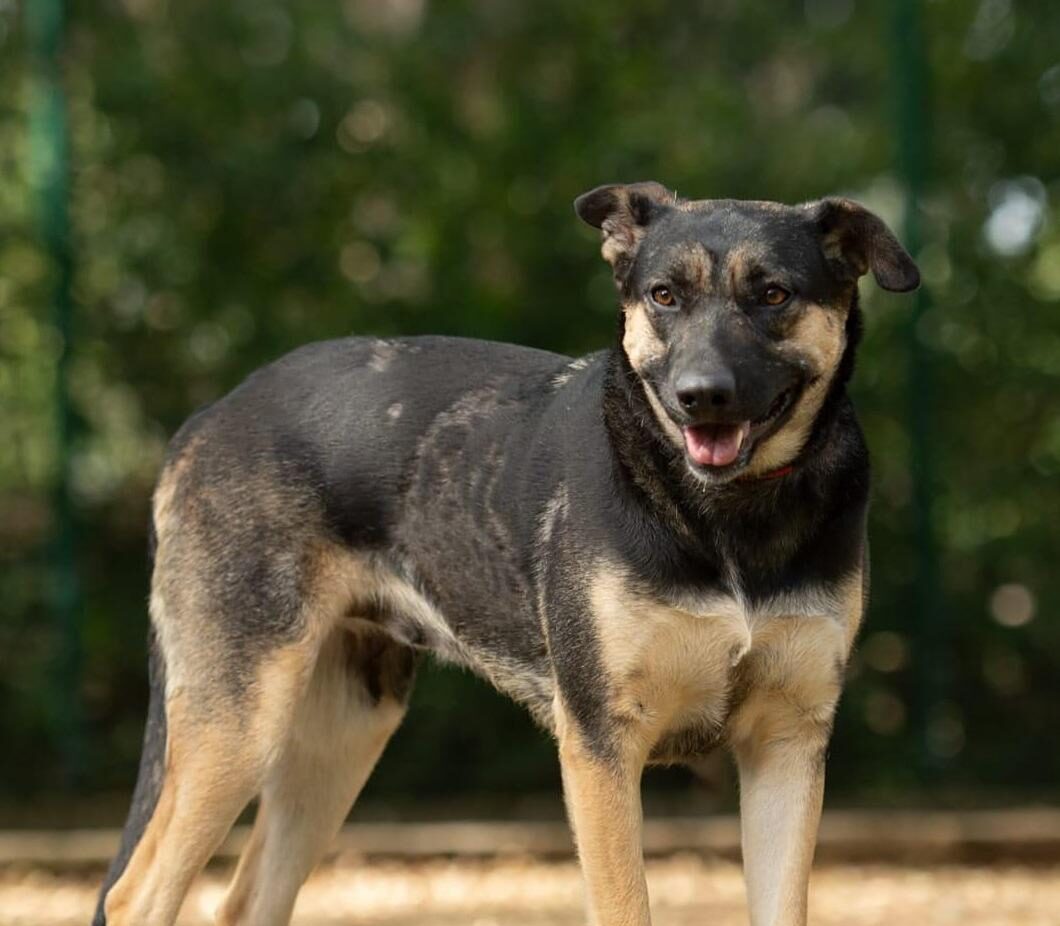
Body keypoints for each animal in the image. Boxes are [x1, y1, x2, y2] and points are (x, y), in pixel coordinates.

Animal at [95, 182, 915, 923]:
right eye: (664, 296)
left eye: (773, 294)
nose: (700, 395)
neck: (728, 516)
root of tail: (206, 419)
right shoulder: (601, 746)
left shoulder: (786, 745)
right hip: (241, 723)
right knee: (138, 896)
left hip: (340, 734)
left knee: (247, 902)